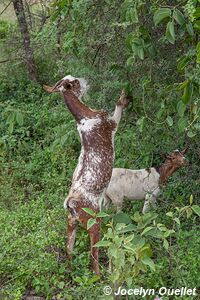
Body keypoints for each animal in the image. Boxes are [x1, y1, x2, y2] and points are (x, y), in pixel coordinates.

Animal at [43, 75, 130, 274]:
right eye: (75, 81)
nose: (85, 79)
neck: (84, 118)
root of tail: (71, 203)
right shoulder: (111, 123)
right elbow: (118, 109)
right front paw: (123, 97)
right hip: (94, 223)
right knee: (93, 257)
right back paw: (100, 276)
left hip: (71, 224)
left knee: (69, 249)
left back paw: (71, 270)